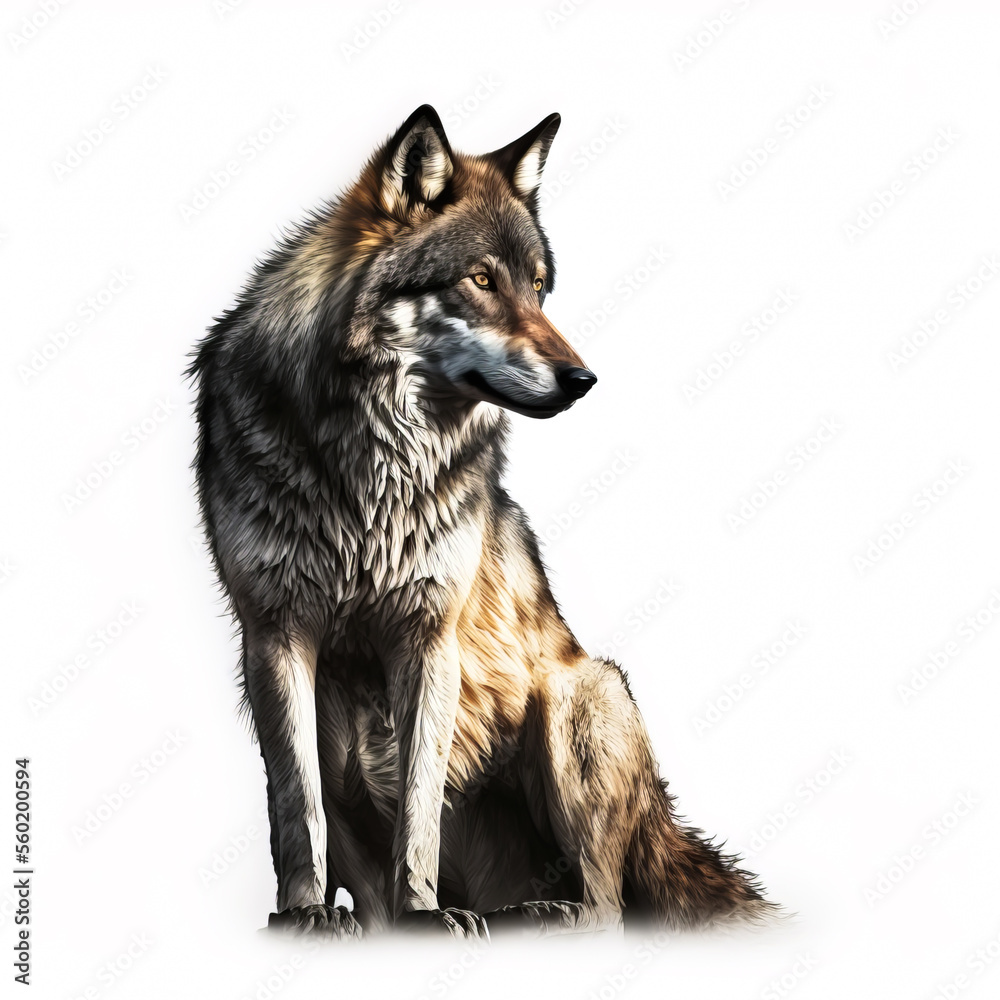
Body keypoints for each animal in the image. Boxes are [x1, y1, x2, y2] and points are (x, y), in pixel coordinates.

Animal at [189, 105, 774, 939]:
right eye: (481, 280)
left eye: (538, 286)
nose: (582, 380)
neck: (375, 462)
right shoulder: (274, 634)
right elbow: (295, 806)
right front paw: (304, 914)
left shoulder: (431, 636)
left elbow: (420, 801)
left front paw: (425, 913)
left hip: (581, 692)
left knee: (607, 905)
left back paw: (535, 911)